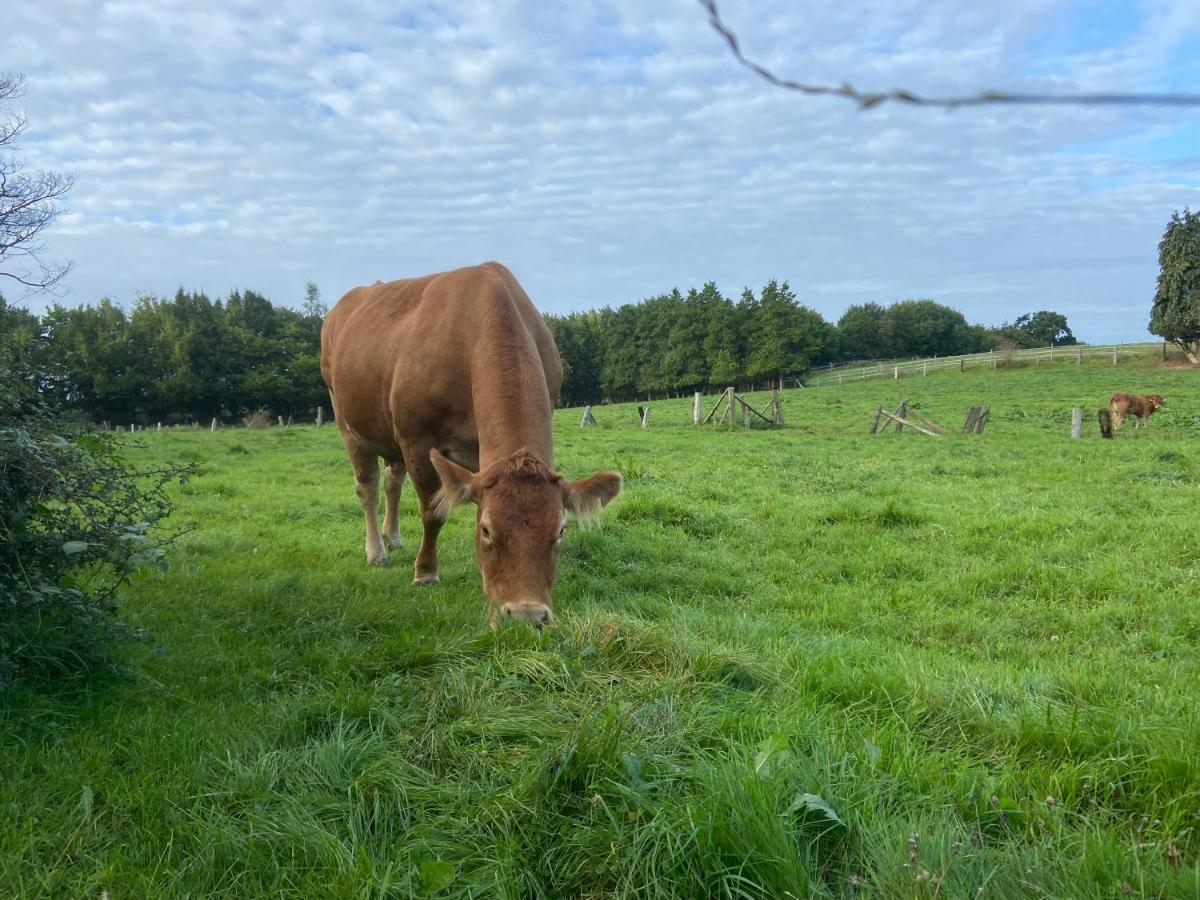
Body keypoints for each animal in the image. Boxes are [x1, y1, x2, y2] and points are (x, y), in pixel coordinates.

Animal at [321, 262, 619, 628]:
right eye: (486, 530)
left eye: (561, 530)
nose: (526, 615)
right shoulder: (417, 440)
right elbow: (433, 512)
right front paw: (425, 572)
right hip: (346, 420)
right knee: (368, 488)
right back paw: (376, 551)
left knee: (393, 481)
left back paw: (393, 538)